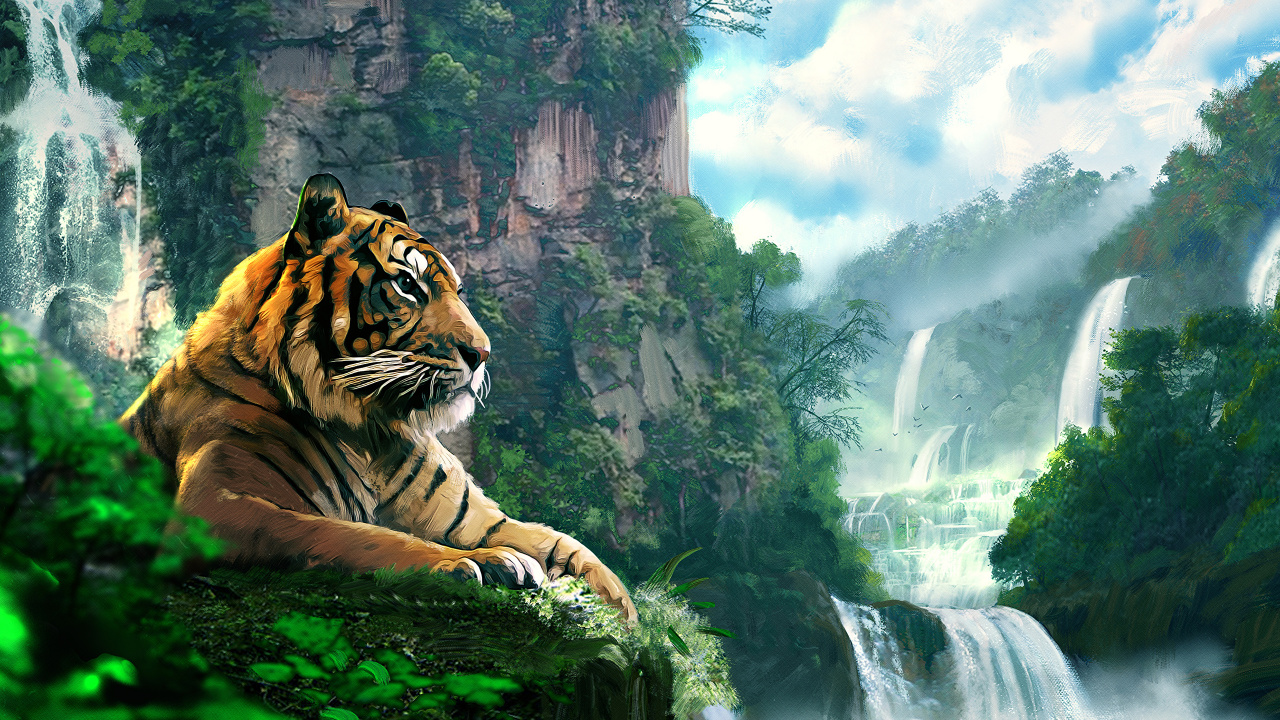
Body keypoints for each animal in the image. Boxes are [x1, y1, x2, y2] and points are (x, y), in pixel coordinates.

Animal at [119, 173, 636, 621]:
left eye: (458, 290)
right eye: (407, 284)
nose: (483, 353)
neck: (371, 429)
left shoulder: (473, 519)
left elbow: (563, 544)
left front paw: (625, 612)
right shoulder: (217, 504)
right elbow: (352, 535)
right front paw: (471, 564)